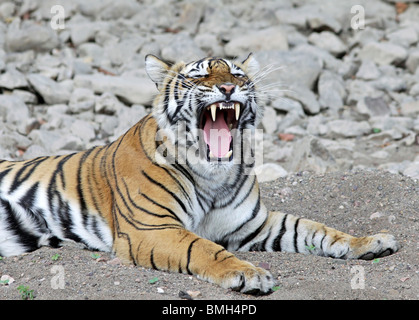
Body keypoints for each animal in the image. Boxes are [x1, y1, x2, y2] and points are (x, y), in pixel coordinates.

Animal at [0, 53, 400, 296]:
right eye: (201, 74)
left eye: (237, 73)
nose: (228, 87)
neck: (212, 176)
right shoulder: (153, 228)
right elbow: (202, 247)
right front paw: (250, 274)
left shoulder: (253, 225)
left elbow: (315, 229)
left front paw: (369, 242)